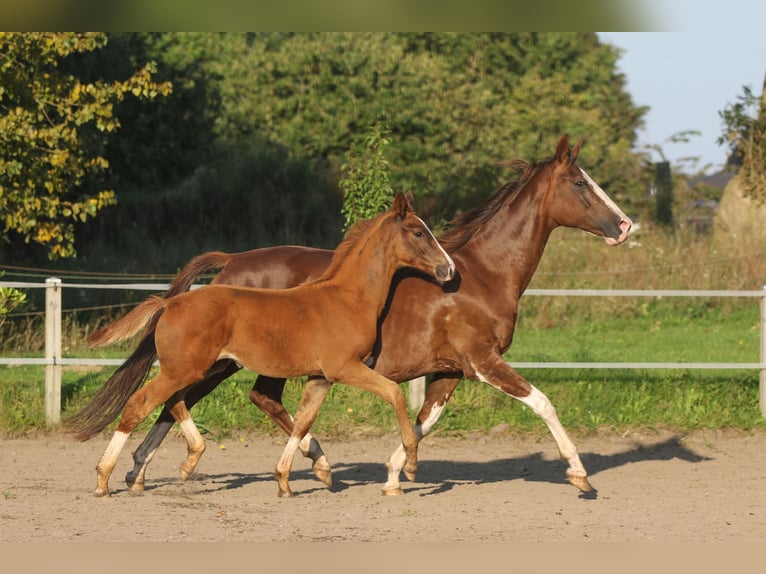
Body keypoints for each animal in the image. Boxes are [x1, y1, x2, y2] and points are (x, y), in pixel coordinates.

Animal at [66, 195, 456, 500]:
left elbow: (303, 422)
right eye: (418, 232)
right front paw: (410, 465)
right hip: (188, 368)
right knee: (140, 403)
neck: (347, 298)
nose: (449, 270)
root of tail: (171, 303)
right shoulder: (344, 368)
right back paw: (104, 478)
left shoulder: (319, 376)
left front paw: (288, 480)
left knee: (174, 401)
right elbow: (394, 394)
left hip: (194, 367)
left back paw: (189, 458)